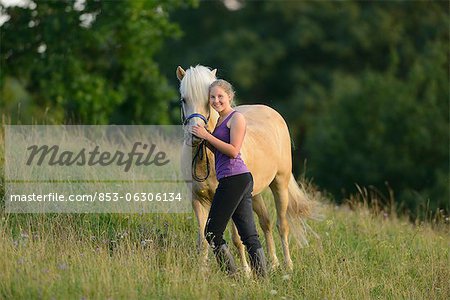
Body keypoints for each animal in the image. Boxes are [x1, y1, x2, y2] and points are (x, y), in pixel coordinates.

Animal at [176, 64, 316, 270]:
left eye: (208, 100)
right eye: (183, 99)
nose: (196, 136)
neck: (206, 157)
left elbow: (236, 239)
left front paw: (246, 271)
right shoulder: (198, 200)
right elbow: (203, 239)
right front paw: (202, 271)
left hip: (280, 183)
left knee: (282, 225)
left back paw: (288, 265)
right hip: (254, 194)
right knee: (266, 221)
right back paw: (273, 263)